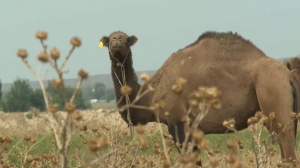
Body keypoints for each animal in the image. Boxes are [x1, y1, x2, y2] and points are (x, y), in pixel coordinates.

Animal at [99, 30, 300, 163]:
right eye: (109, 39)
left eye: (126, 39)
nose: (116, 41)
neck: (151, 94)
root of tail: (288, 74)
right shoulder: (193, 128)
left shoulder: (178, 122)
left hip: (273, 93)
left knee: (288, 151)